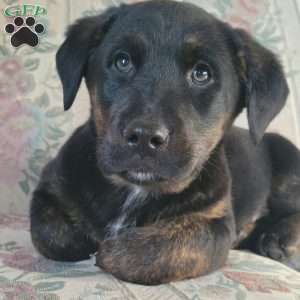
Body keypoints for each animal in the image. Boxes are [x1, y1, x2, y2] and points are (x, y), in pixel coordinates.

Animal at [29, 0, 300, 284]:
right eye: (122, 62)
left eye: (202, 74)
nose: (145, 137)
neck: (135, 189)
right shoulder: (49, 186)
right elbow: (48, 231)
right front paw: (85, 238)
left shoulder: (217, 223)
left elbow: (172, 247)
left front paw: (117, 250)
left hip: (288, 160)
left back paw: (277, 237)